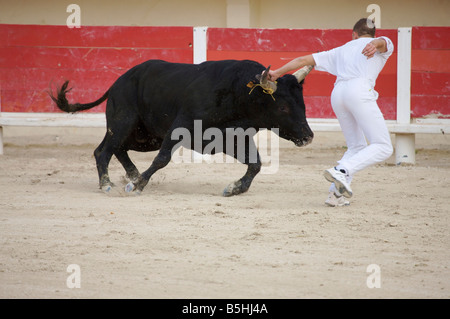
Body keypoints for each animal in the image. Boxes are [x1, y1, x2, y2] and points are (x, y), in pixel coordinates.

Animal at [50, 58, 312, 196]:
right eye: (283, 108)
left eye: (302, 103)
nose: (308, 136)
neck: (239, 94)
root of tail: (119, 81)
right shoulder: (180, 128)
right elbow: (162, 159)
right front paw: (138, 184)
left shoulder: (234, 137)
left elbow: (255, 164)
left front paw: (235, 188)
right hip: (123, 121)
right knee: (104, 151)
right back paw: (107, 183)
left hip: (143, 135)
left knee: (114, 148)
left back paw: (130, 173)